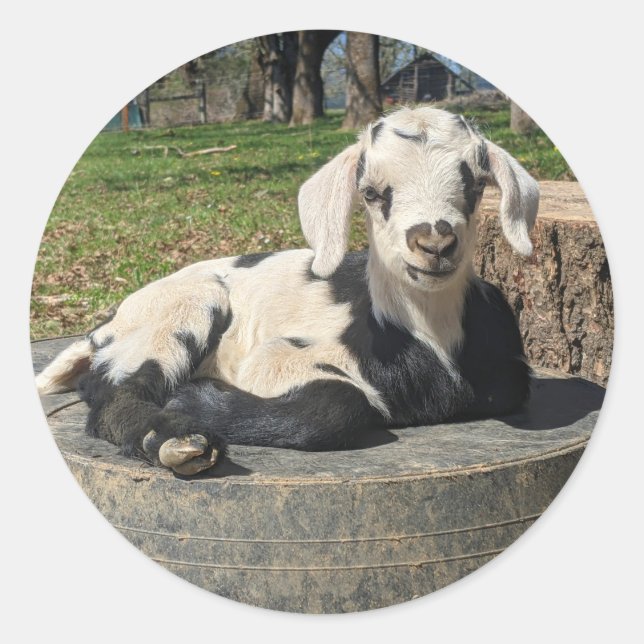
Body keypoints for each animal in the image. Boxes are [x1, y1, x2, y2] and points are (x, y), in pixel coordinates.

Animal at [36, 106, 539, 476]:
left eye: (477, 184)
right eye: (372, 192)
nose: (434, 243)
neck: (425, 334)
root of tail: (102, 329)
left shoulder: (507, 371)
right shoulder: (279, 356)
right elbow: (341, 403)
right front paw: (198, 399)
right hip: (184, 307)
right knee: (113, 394)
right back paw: (175, 439)